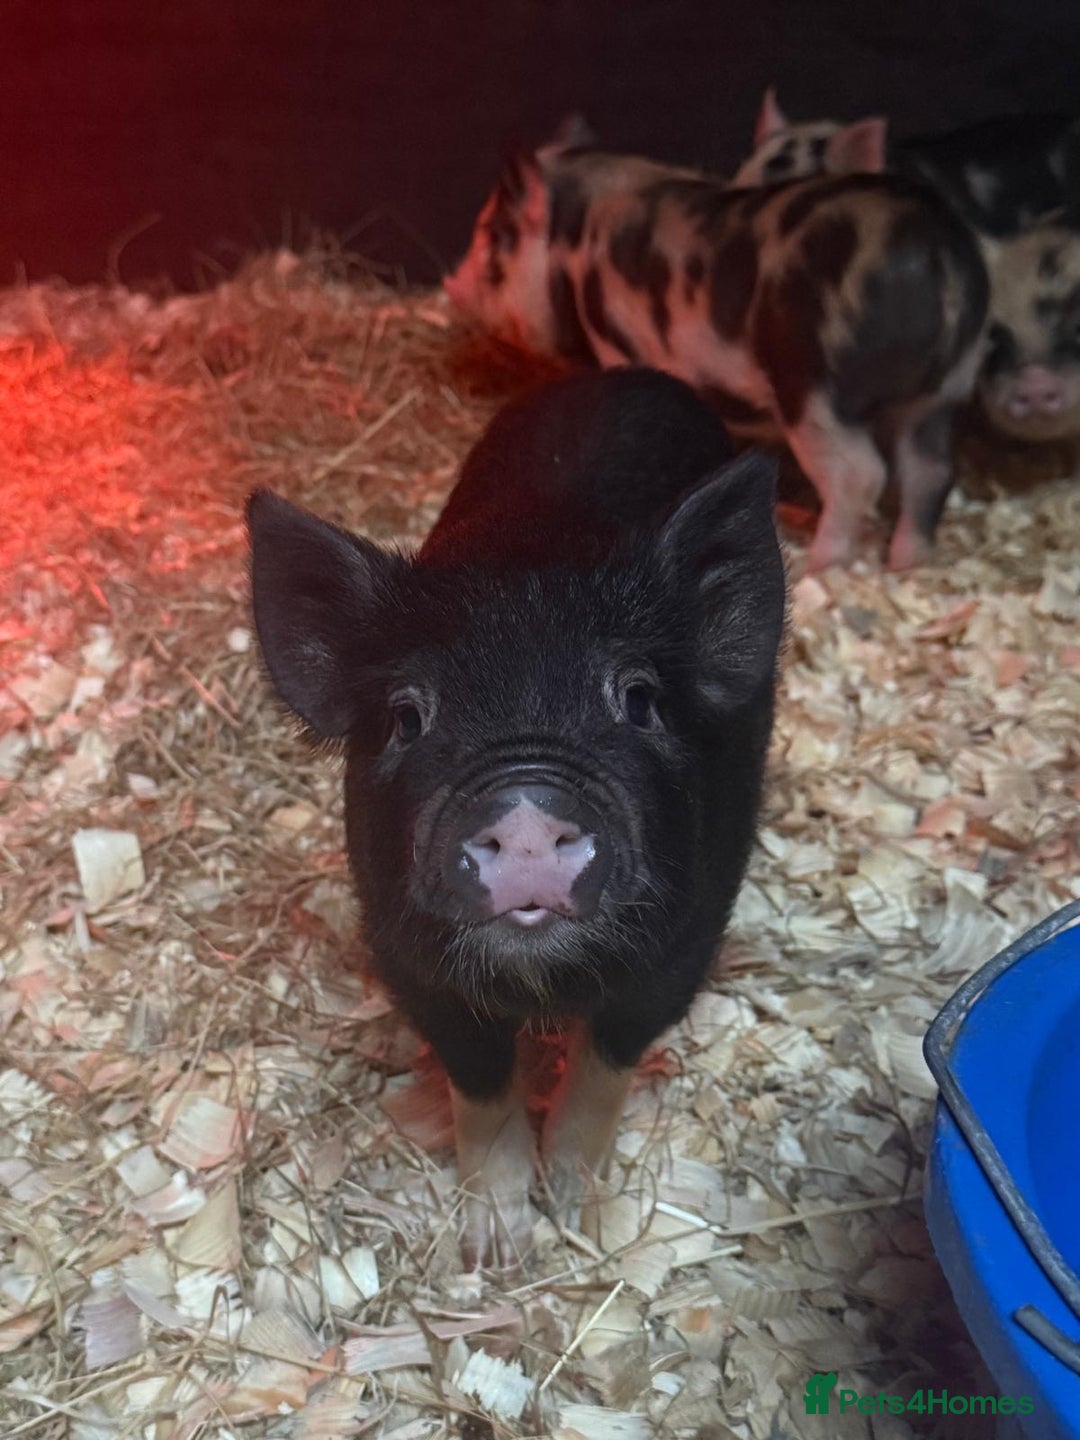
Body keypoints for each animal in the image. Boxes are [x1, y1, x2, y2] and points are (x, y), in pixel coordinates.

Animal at [247, 367, 786, 1267]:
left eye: (639, 700)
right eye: (407, 718)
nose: (528, 811)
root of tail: (627, 375)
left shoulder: (683, 944)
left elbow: (603, 1074)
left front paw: (577, 1220)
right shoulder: (410, 958)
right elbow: (482, 1089)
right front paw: (496, 1251)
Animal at [445, 127, 988, 571]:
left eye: (495, 235)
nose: (451, 287)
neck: (576, 243)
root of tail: (940, 262)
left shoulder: (621, 345)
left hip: (814, 384)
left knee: (861, 473)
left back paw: (818, 566)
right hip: (942, 392)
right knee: (929, 471)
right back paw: (907, 563)